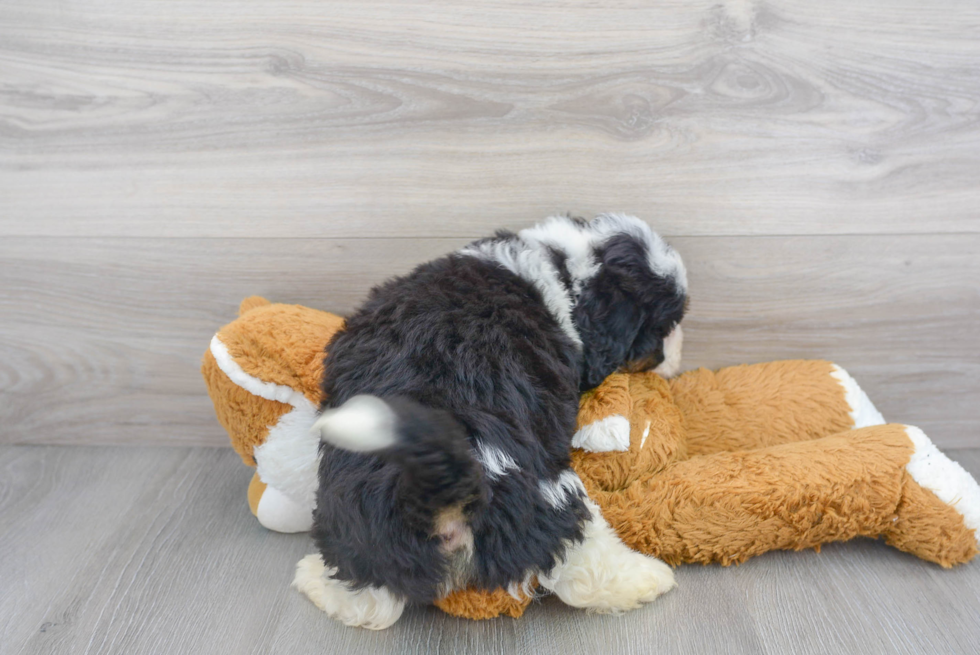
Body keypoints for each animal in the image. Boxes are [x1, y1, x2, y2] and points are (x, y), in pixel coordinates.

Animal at [294, 215, 684, 632]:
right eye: (664, 327)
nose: (676, 362)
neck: (559, 264)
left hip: (363, 524)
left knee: (370, 599)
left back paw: (313, 579)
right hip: (548, 496)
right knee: (584, 563)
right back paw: (649, 578)